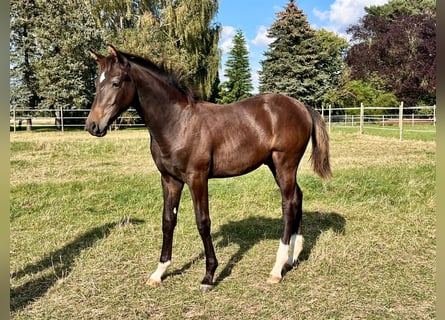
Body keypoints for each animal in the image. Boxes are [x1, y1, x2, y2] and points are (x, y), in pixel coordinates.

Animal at [86, 43, 330, 292]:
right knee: (297, 197)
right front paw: (159, 272)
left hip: (285, 164)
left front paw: (209, 275)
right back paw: (292, 258)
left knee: (288, 204)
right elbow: (168, 221)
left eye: (116, 82)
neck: (178, 122)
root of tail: (301, 106)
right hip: (275, 165)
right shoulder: (170, 179)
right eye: (97, 83)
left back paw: (277, 269)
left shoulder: (197, 178)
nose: (93, 125)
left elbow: (203, 222)